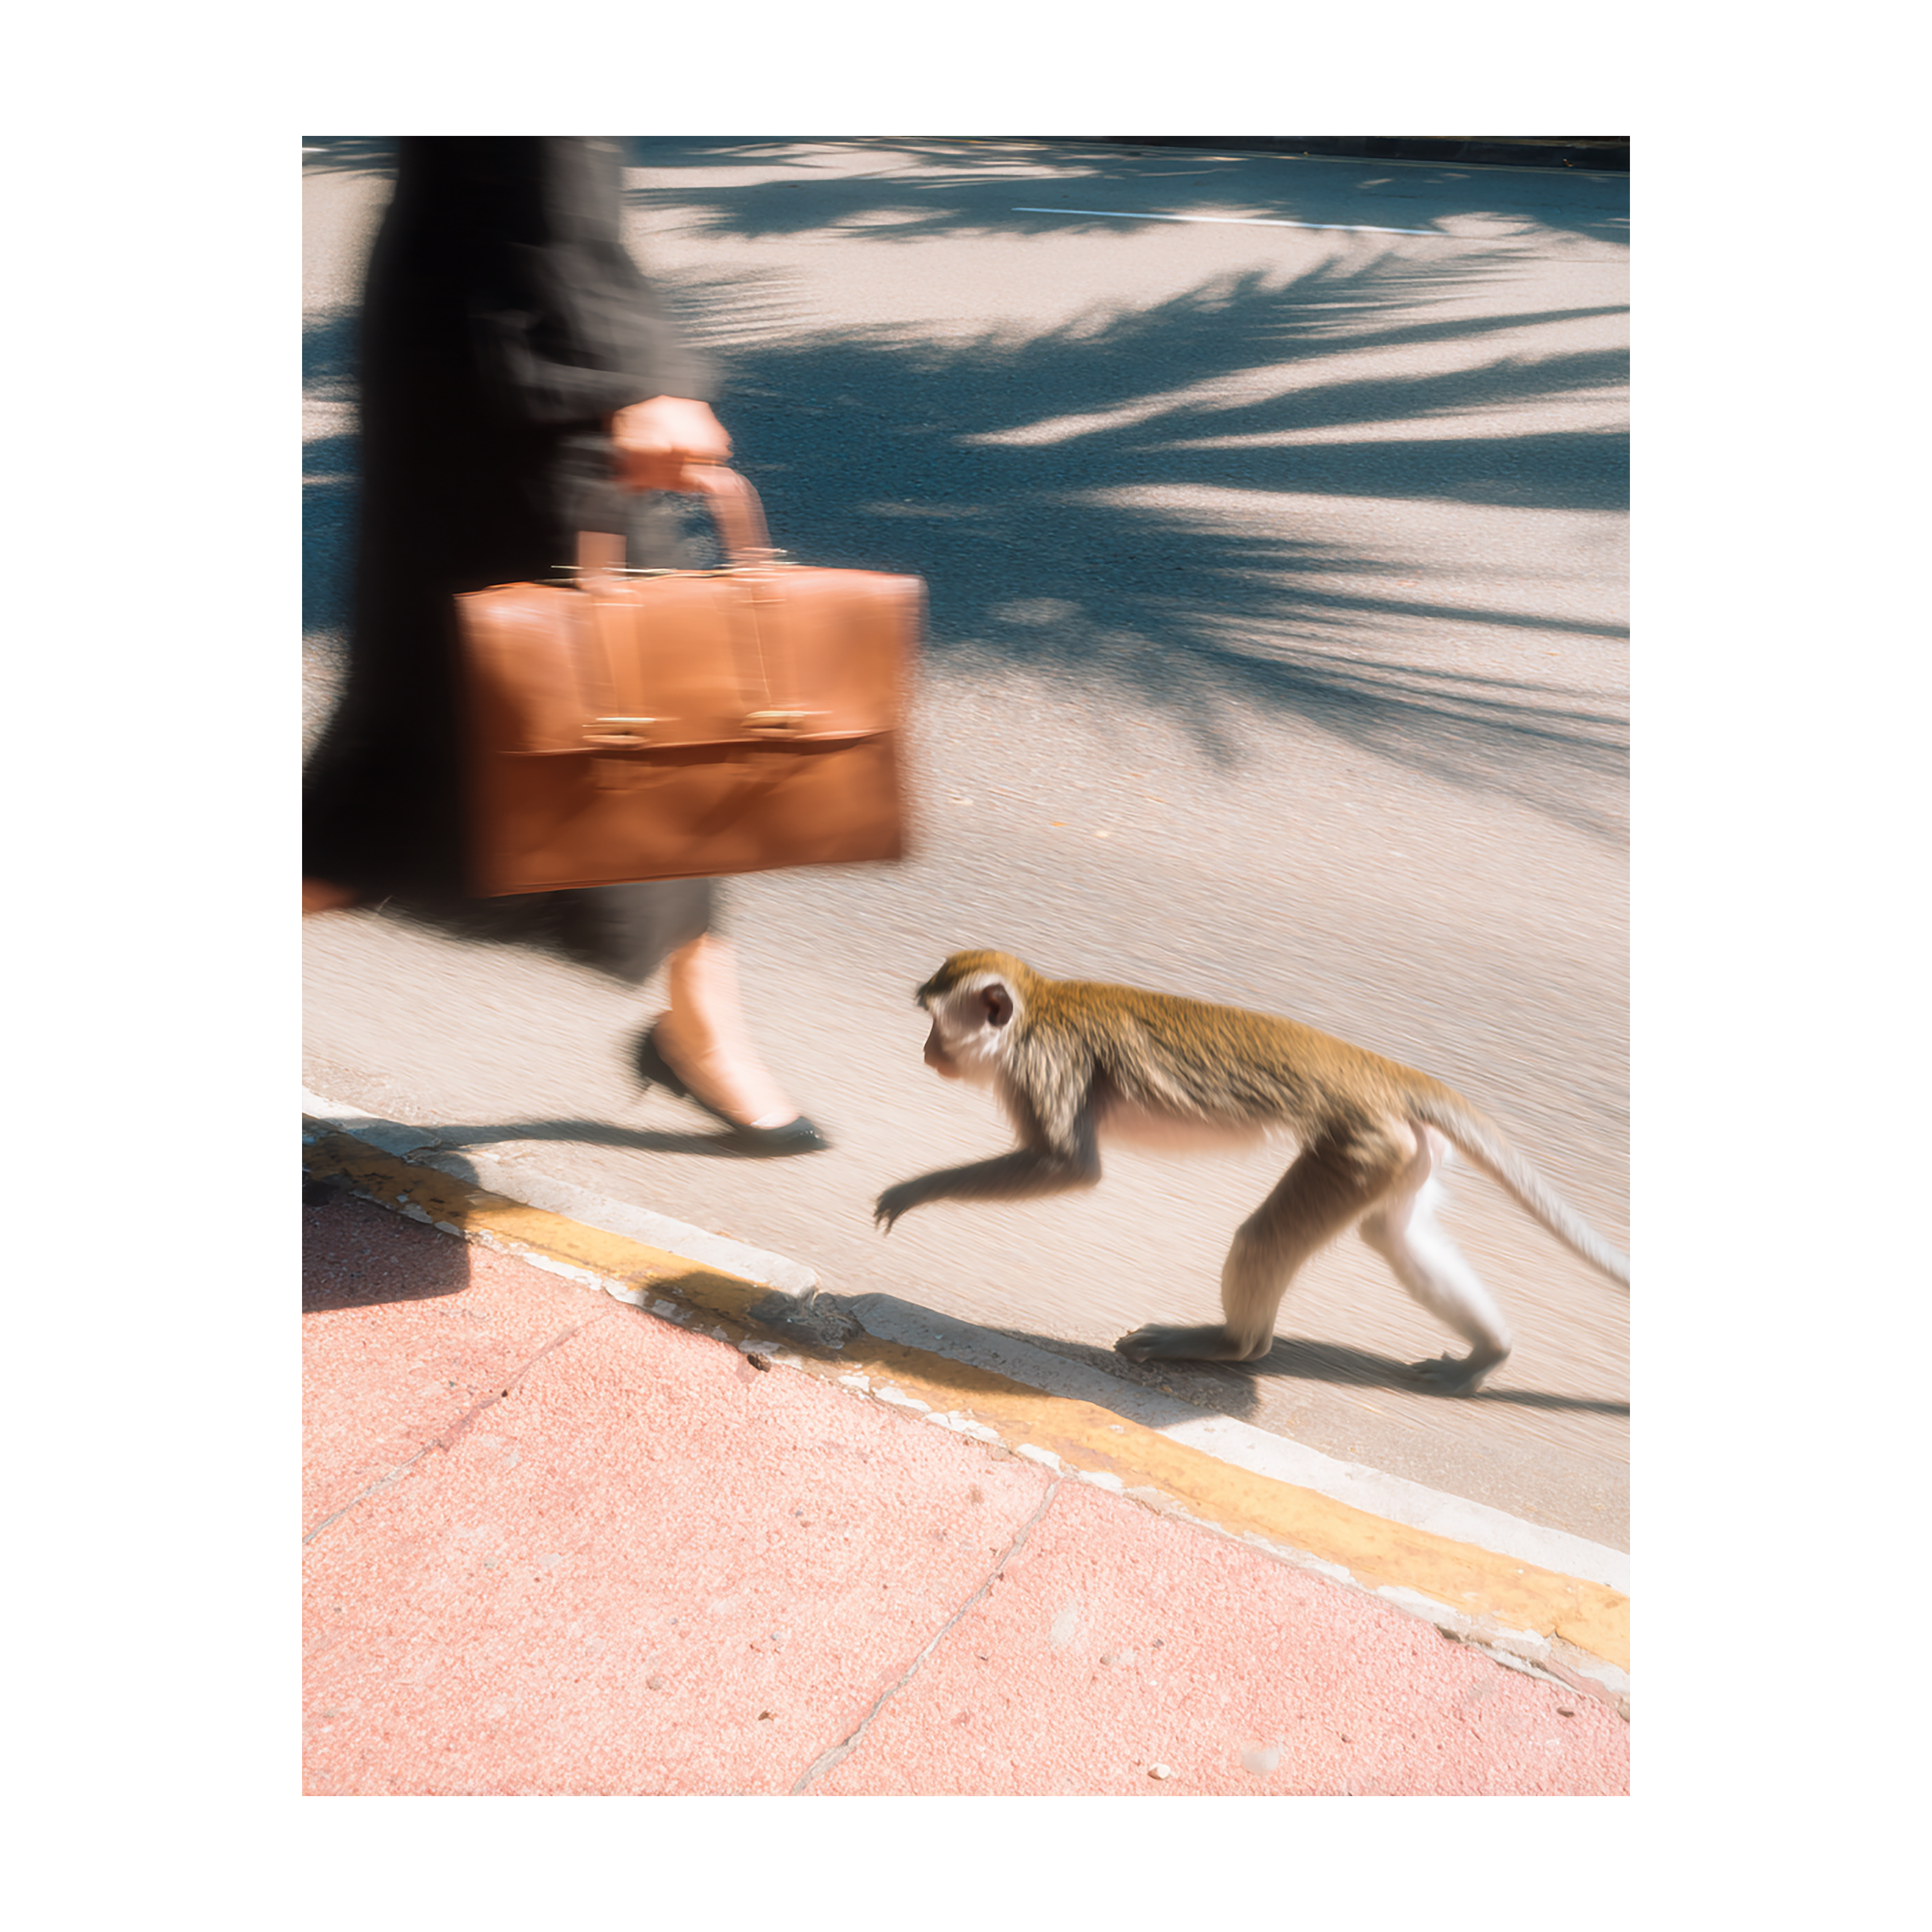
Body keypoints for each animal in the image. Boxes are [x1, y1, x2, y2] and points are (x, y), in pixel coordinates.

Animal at [873, 951, 1628, 1395]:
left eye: (938, 1023)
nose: (925, 1051)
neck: (1037, 1010)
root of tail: (1380, 1070)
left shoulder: (1041, 1070)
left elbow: (1069, 1167)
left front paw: (915, 1191)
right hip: (1400, 1150)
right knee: (1392, 1236)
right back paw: (1488, 1354)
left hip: (1357, 1146)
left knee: (1264, 1240)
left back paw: (1229, 1343)